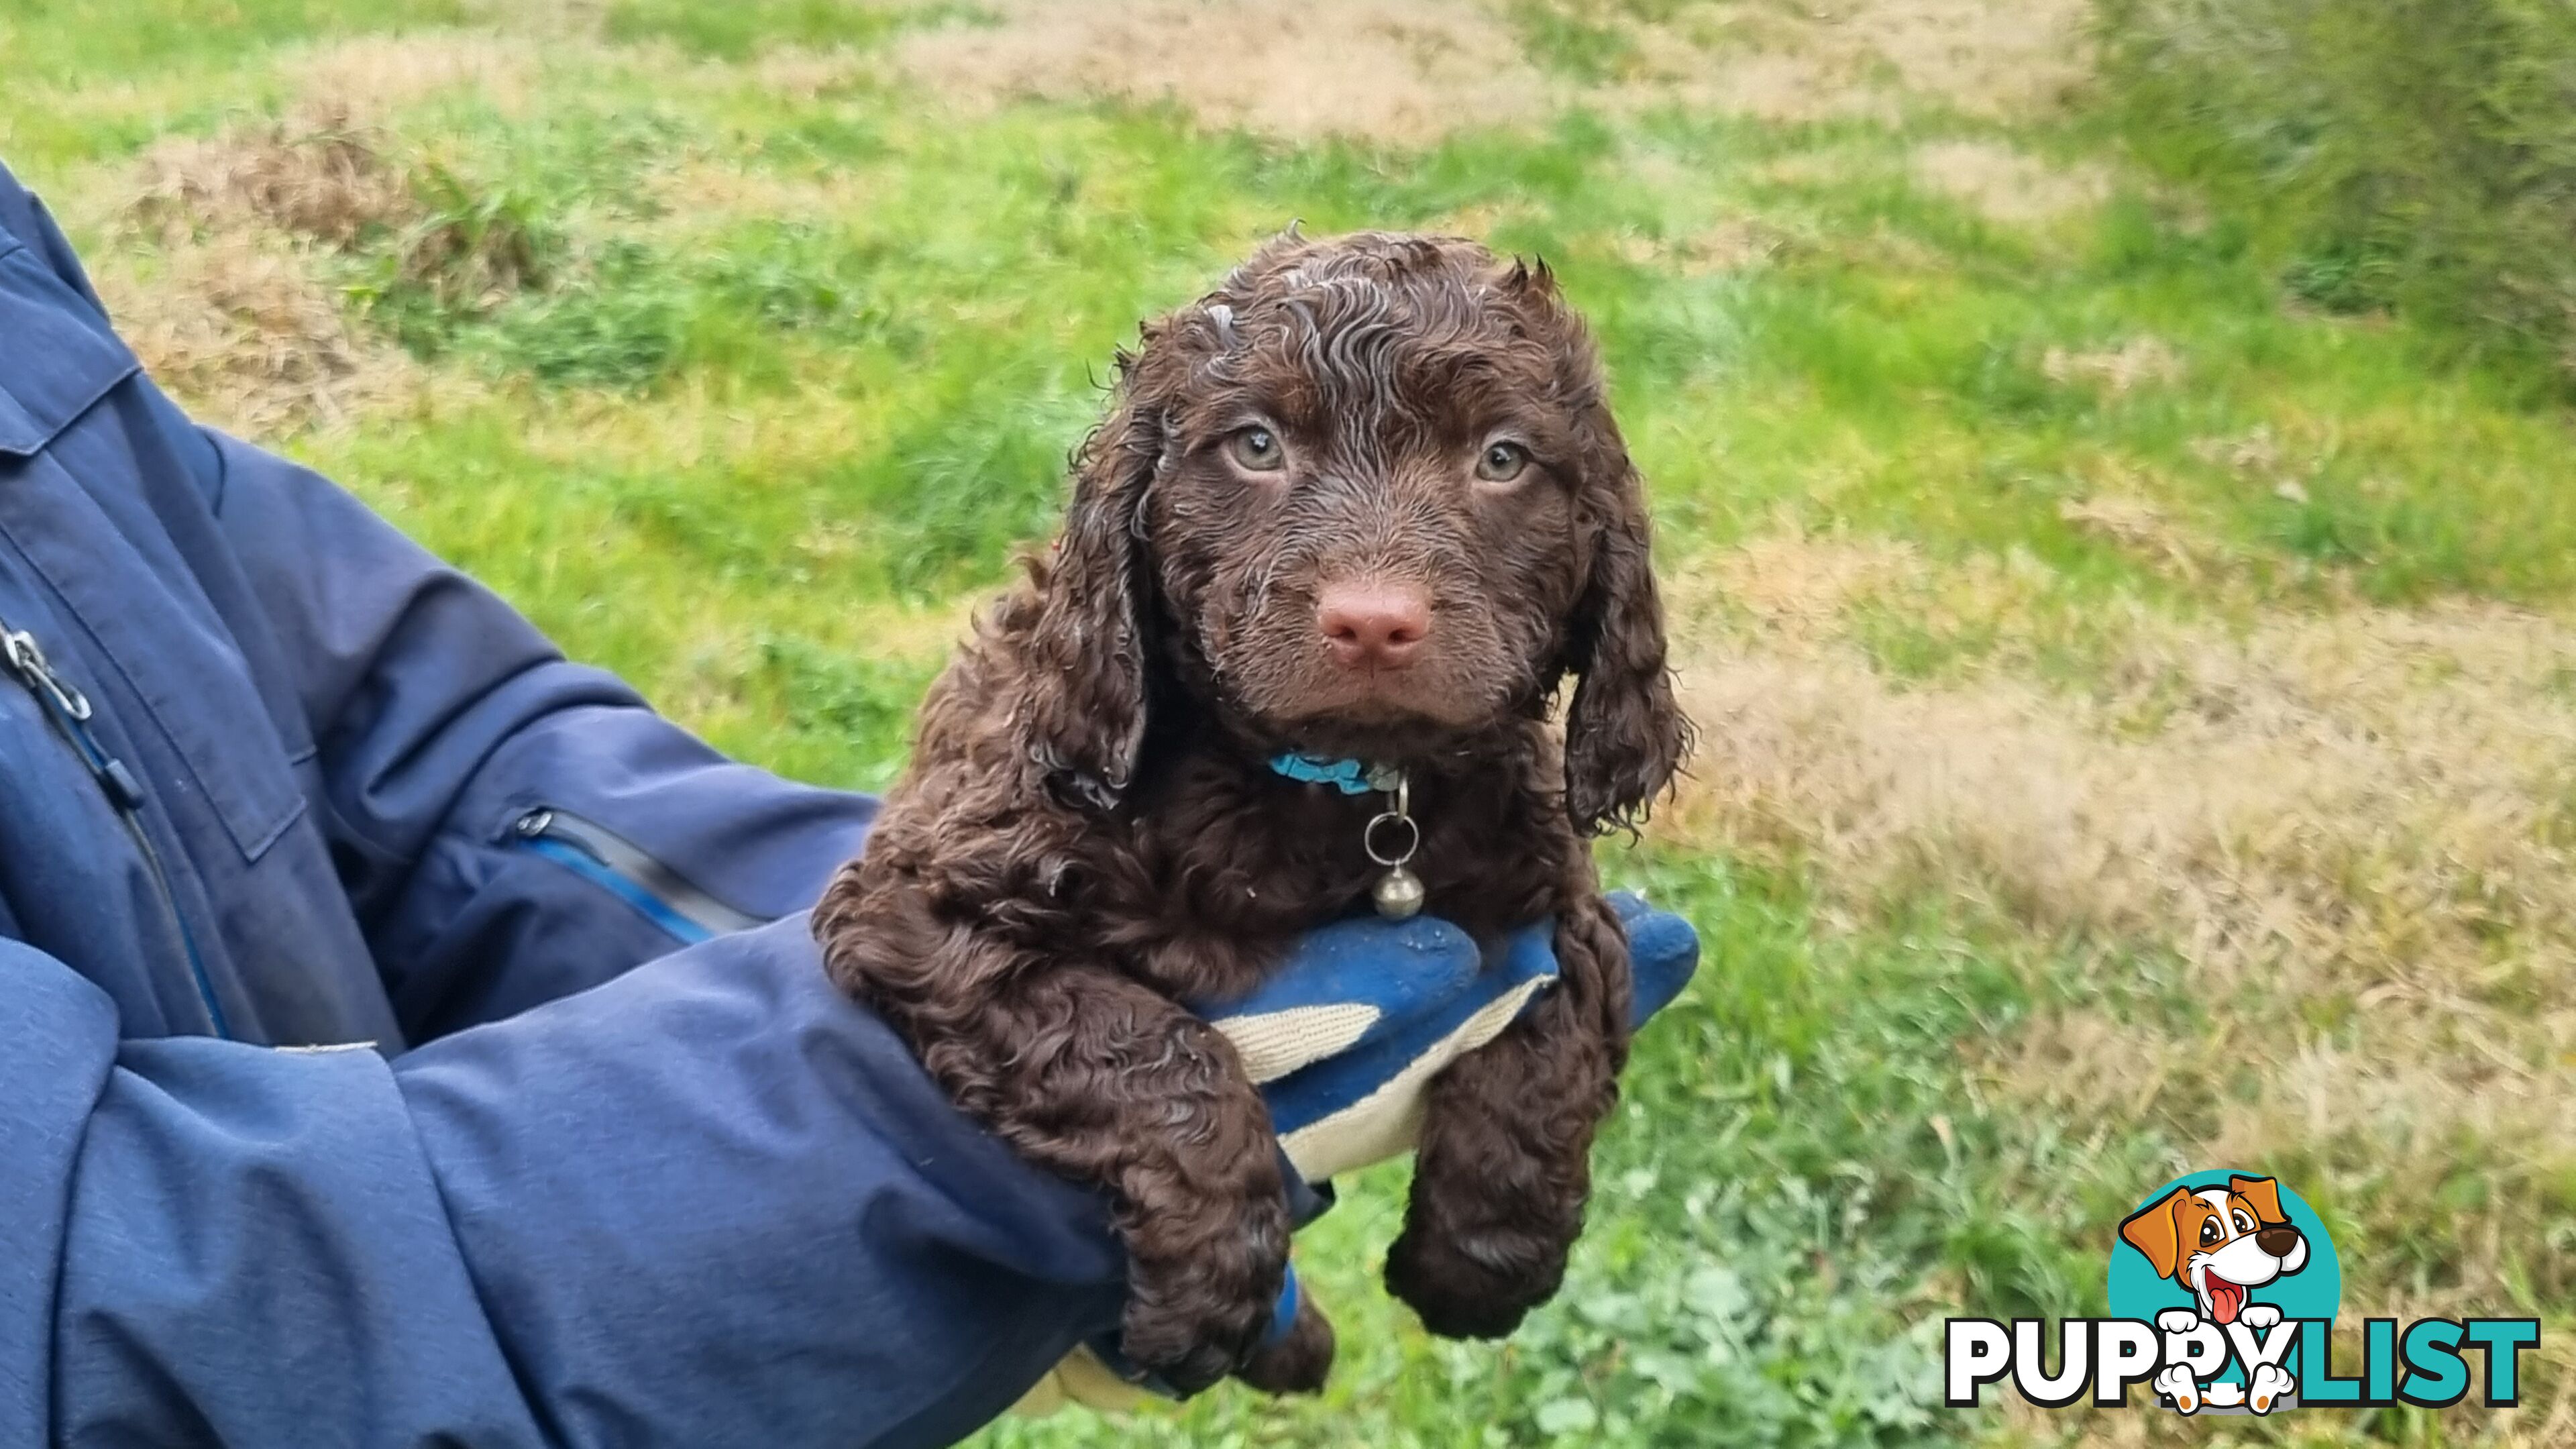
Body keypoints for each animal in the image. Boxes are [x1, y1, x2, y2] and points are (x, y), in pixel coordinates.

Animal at [819, 230, 1690, 1392]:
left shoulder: (1556, 896)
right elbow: (1161, 1053)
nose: (1373, 623)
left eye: (1503, 459)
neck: (1339, 791)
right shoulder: (920, 901)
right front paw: (1212, 1290)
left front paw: (1476, 1266)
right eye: (1257, 445)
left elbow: (1551, 1043)